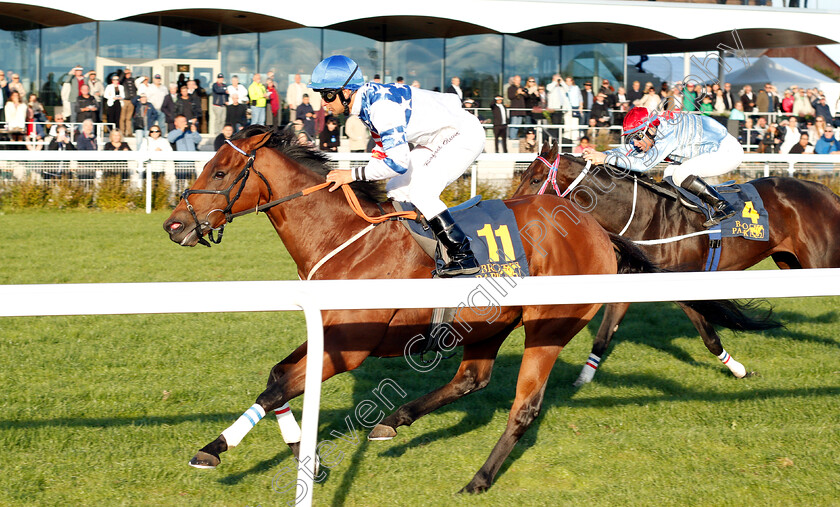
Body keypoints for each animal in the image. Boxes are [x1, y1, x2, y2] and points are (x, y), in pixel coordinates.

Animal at [162, 127, 776, 496]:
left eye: (221, 173)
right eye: (207, 166)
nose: (173, 225)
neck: (346, 239)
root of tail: (598, 230)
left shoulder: (351, 345)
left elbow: (283, 384)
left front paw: (230, 452)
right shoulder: (330, 329)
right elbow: (278, 379)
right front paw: (286, 452)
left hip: (547, 327)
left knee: (522, 408)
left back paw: (478, 478)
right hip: (488, 325)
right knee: (472, 379)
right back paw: (394, 420)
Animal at [508, 141, 840, 386]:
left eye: (535, 179)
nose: (512, 212)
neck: (646, 217)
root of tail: (827, 192)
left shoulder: (683, 284)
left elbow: (710, 336)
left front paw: (739, 370)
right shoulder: (630, 280)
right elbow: (604, 335)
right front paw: (583, 379)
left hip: (820, 262)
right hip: (790, 263)